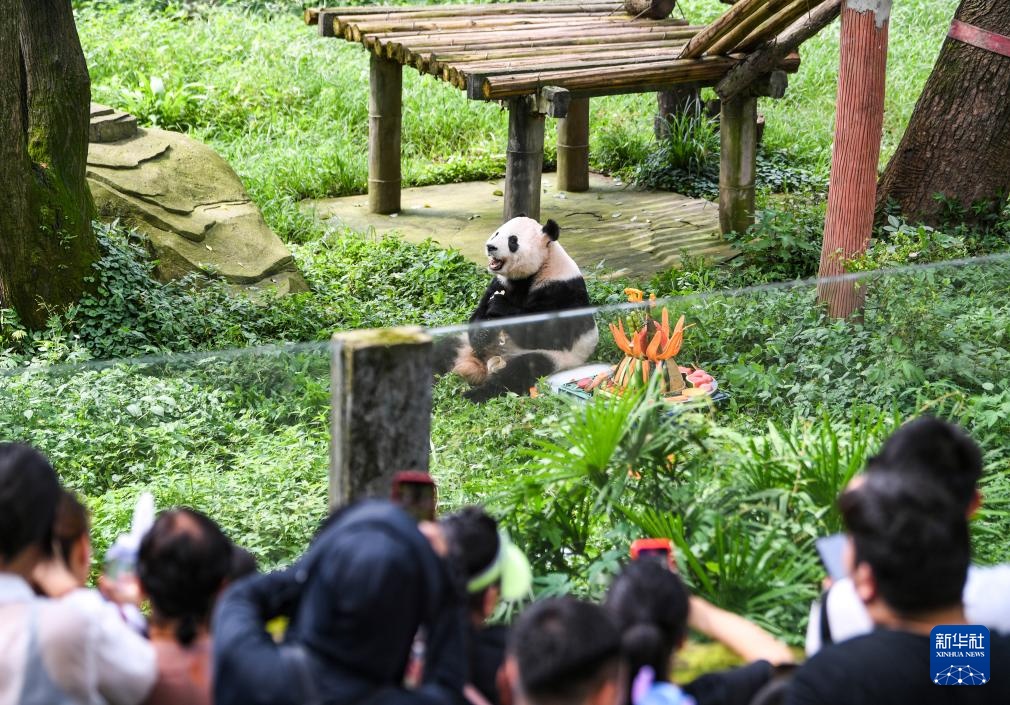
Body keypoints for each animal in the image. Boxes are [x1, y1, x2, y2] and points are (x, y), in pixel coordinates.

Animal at [436, 214, 597, 399]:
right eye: (497, 233)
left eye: (513, 241)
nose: (490, 247)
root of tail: (484, 366)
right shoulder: (498, 283)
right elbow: (477, 317)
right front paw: (485, 330)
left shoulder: (563, 288)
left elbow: (552, 333)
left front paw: (499, 305)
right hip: (463, 345)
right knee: (442, 350)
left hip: (554, 358)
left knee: (519, 371)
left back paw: (474, 395)